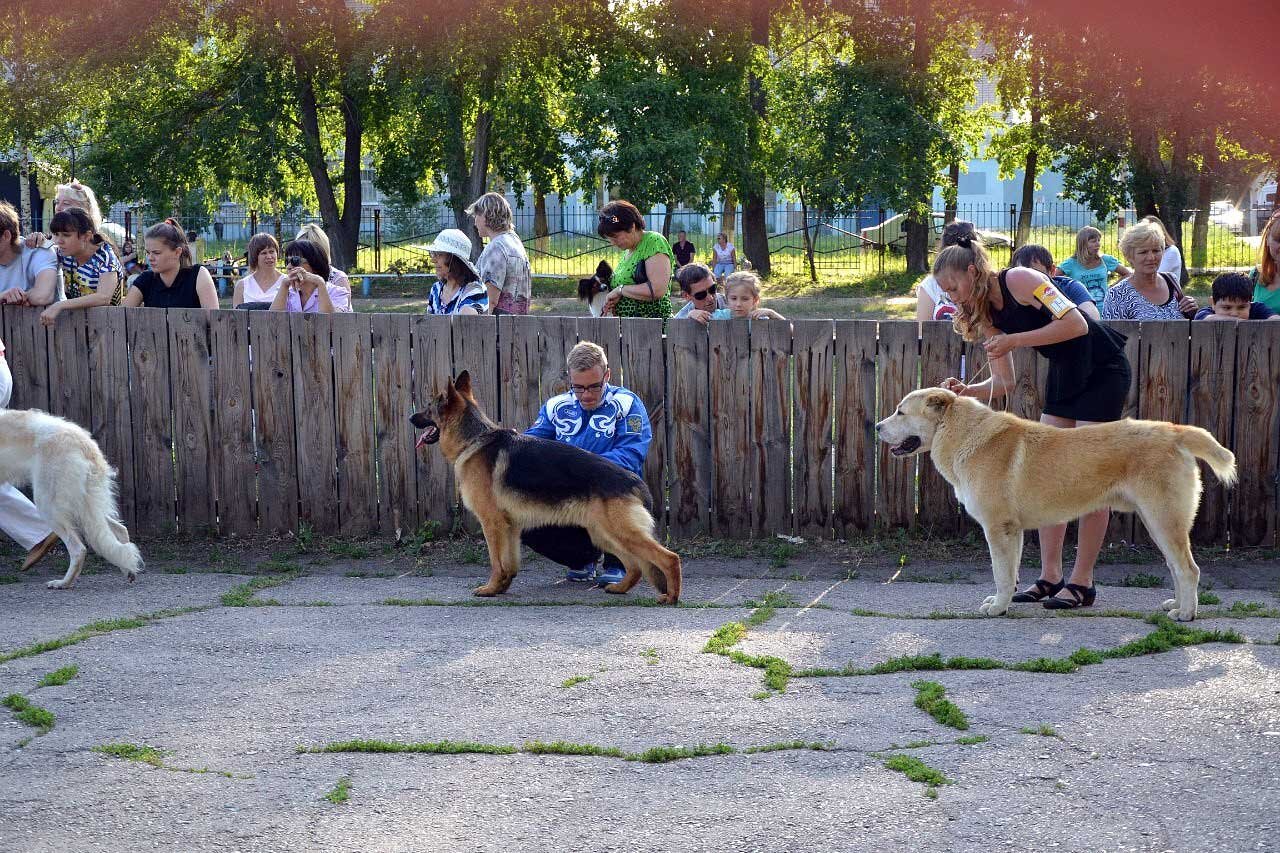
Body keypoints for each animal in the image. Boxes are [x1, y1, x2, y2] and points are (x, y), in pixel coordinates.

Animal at [1, 409, 144, 589]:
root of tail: (86, 444)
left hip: (49, 504)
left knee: (79, 549)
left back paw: (63, 583)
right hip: (86, 505)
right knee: (120, 530)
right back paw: (128, 570)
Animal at [414, 368, 686, 601]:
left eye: (428, 408)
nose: (410, 417)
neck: (473, 439)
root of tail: (636, 483)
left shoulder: (492, 523)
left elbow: (495, 562)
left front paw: (490, 588)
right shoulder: (511, 527)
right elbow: (509, 563)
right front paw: (502, 587)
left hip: (621, 532)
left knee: (668, 558)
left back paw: (671, 597)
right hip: (603, 533)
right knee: (635, 566)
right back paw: (620, 588)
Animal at [875, 384, 1233, 617]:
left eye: (900, 412)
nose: (877, 426)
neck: (960, 432)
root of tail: (1175, 432)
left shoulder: (998, 529)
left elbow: (1000, 573)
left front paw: (997, 609)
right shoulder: (1014, 531)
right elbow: (1011, 572)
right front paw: (1004, 602)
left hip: (1164, 520)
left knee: (1189, 569)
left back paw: (1186, 615)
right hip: (1157, 523)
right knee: (1176, 568)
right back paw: (1177, 605)